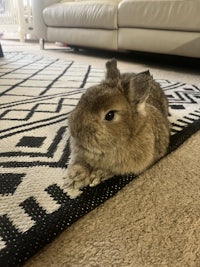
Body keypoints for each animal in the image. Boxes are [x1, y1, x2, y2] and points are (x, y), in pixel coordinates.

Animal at [63, 58, 170, 199]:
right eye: (82, 99)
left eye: (110, 115)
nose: (75, 132)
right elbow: (79, 164)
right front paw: (73, 179)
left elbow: (110, 170)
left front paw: (97, 176)